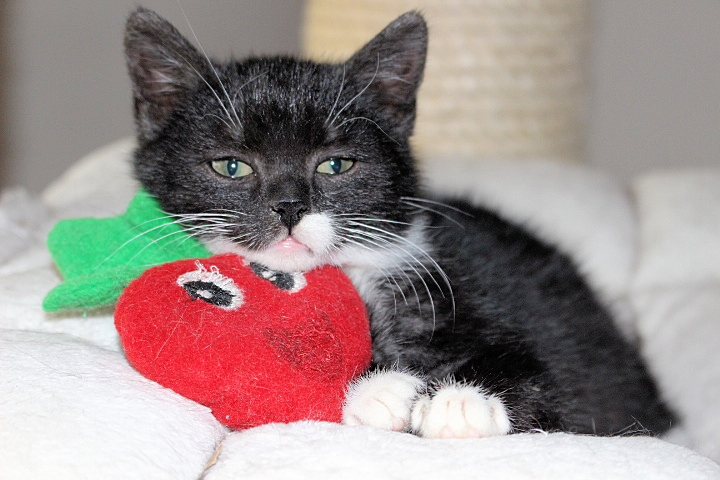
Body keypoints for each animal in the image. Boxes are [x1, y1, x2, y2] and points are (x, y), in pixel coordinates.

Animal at [125, 7, 676, 438]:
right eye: (231, 166)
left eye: (335, 165)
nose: (288, 207)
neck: (356, 272)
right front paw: (381, 389)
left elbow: (555, 381)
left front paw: (464, 400)